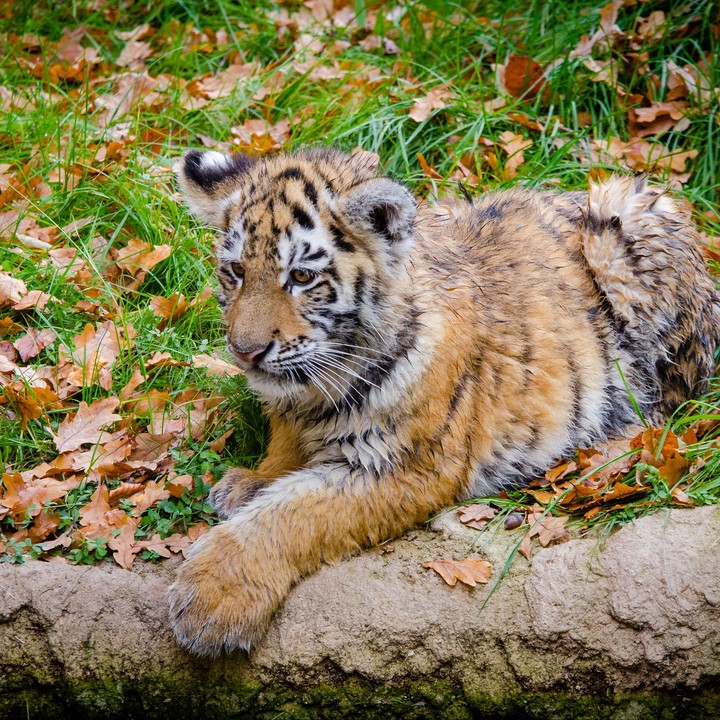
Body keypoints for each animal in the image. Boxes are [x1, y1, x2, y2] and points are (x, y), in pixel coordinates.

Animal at [169, 147, 720, 656]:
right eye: (235, 271)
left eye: (302, 278)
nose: (245, 351)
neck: (317, 390)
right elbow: (283, 454)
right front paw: (254, 479)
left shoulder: (408, 466)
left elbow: (294, 515)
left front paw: (211, 596)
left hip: (624, 218)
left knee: (671, 400)